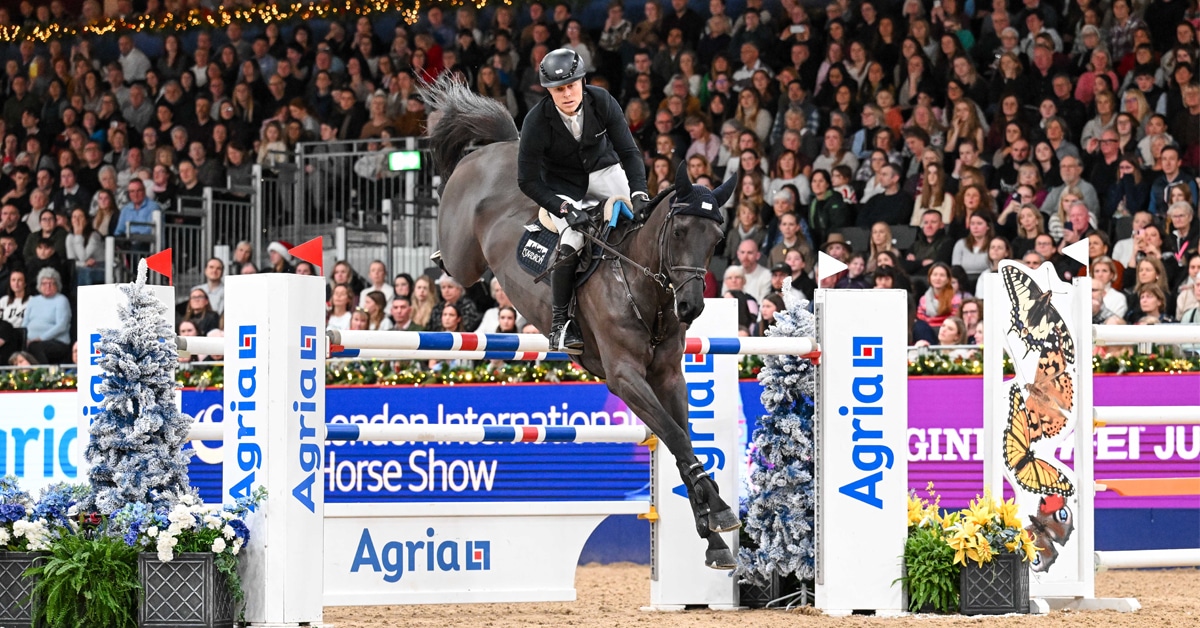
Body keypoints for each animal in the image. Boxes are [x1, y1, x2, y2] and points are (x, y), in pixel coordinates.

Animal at [424, 79, 741, 569]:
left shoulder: (668, 376)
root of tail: (500, 147)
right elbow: (675, 437)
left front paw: (715, 538)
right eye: (680, 232)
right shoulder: (624, 377)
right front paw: (721, 514)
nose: (690, 307)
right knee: (455, 258)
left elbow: (681, 441)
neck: (642, 283)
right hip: (466, 256)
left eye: (717, 238)